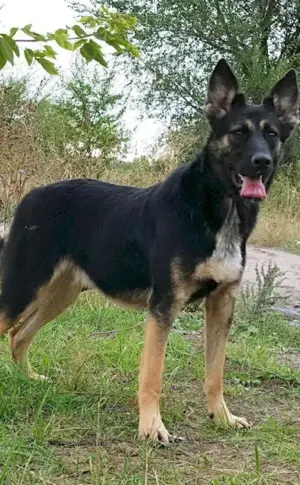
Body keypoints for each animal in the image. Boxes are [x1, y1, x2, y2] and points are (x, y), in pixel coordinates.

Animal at [0, 59, 298, 442]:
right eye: (238, 132)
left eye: (271, 134)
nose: (262, 162)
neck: (218, 209)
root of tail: (31, 195)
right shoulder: (163, 308)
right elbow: (152, 376)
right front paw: (152, 427)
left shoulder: (221, 305)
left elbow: (215, 373)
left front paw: (222, 416)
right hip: (23, 288)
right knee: (13, 328)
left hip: (60, 294)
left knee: (20, 335)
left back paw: (31, 380)